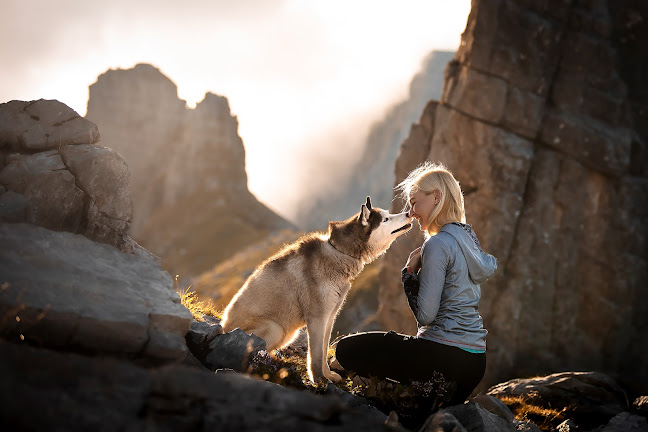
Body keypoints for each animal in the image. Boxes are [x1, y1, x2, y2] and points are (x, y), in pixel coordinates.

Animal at [223, 197, 412, 384]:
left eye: (388, 214)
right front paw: (319, 379)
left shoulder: (329, 316)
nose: (409, 213)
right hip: (276, 329)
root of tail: (223, 327)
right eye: (386, 219)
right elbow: (316, 355)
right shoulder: (317, 317)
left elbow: (323, 349)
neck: (340, 252)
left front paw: (328, 375)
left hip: (288, 333)